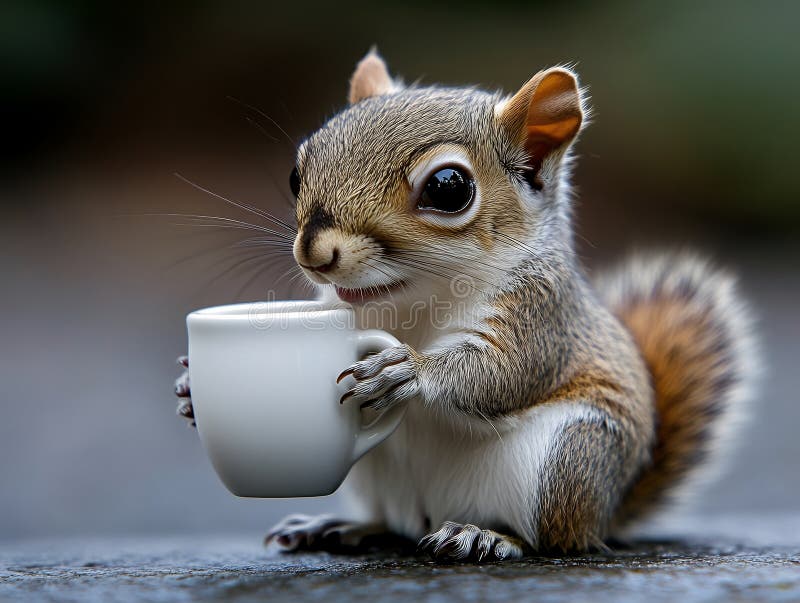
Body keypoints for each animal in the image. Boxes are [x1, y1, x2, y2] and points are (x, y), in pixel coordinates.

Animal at [175, 50, 756, 562]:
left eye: (449, 188)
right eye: (298, 172)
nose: (315, 253)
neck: (411, 299)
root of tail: (606, 512)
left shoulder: (539, 317)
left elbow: (502, 374)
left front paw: (408, 370)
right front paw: (187, 389)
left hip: (565, 457)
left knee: (551, 540)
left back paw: (488, 536)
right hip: (377, 474)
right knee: (395, 524)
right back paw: (341, 526)